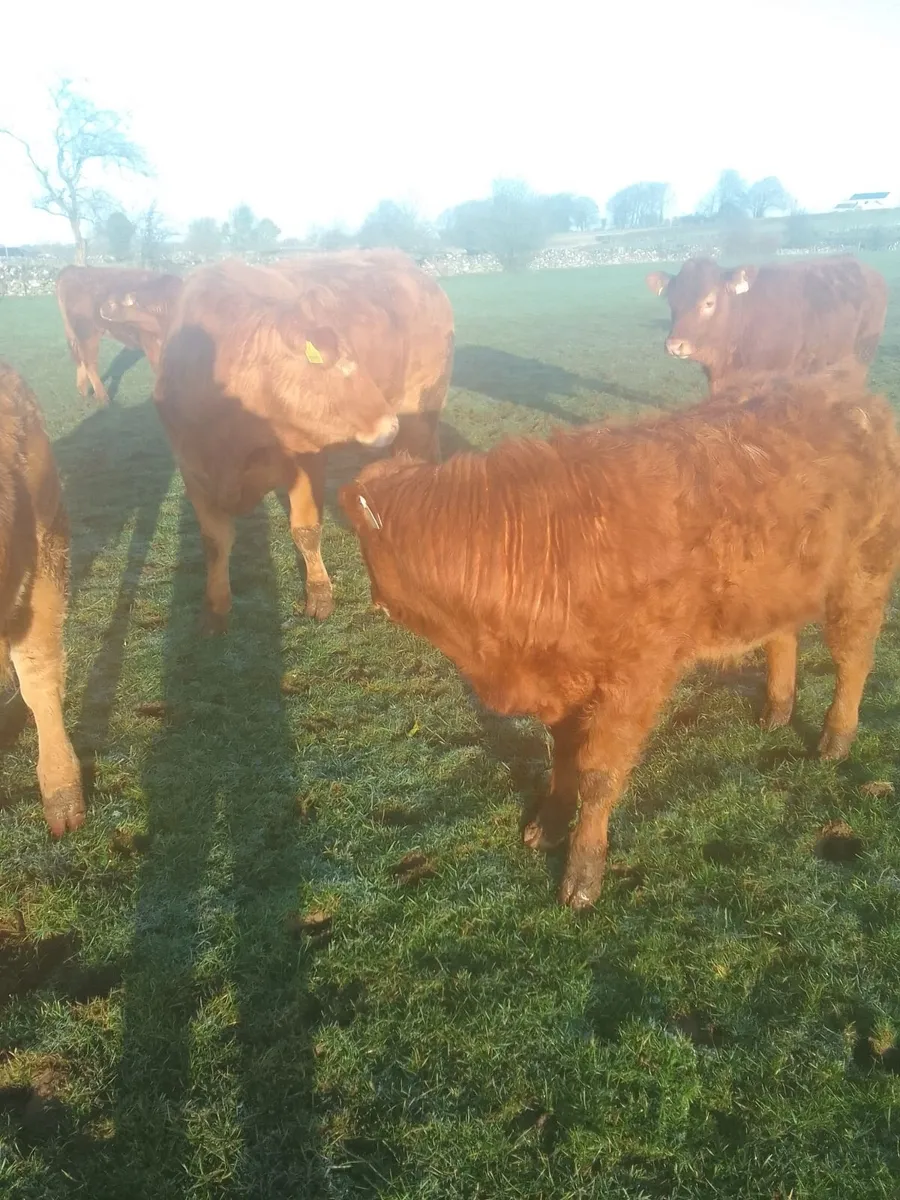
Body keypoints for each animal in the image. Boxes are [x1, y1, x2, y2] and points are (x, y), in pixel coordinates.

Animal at [56, 265, 176, 404]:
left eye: (112, 303)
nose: (102, 309)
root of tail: (72, 269)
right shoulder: (150, 343)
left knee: (79, 358)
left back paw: (83, 391)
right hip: (87, 332)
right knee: (89, 362)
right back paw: (102, 397)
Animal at [119, 251, 454, 627]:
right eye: (321, 364)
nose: (387, 425)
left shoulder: (306, 458)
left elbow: (305, 530)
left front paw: (319, 595)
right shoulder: (192, 468)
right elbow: (214, 541)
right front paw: (216, 607)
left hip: (420, 412)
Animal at [340, 372, 900, 909]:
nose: (372, 599)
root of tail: (859, 400)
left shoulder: (634, 678)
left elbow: (598, 774)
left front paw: (582, 875)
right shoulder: (564, 684)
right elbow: (563, 759)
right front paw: (547, 825)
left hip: (862, 576)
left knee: (853, 658)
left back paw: (835, 740)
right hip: (777, 586)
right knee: (782, 637)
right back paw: (777, 711)